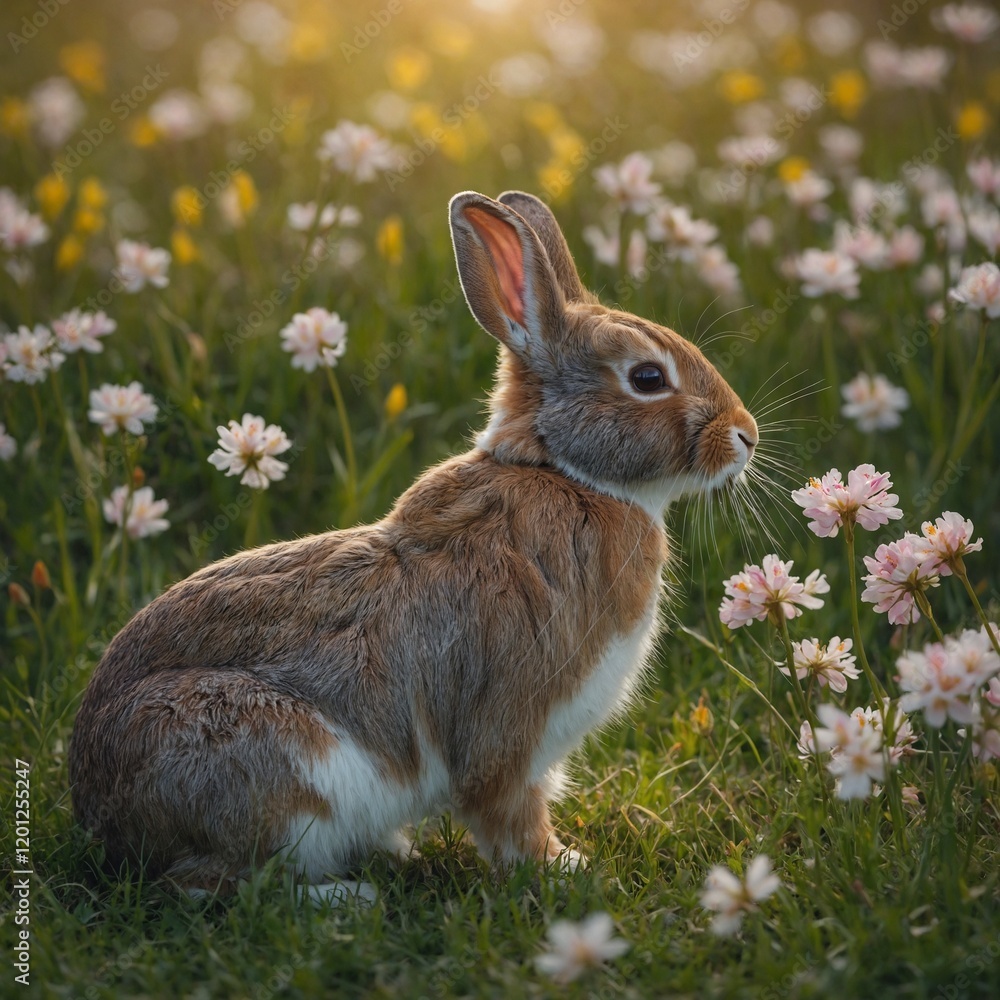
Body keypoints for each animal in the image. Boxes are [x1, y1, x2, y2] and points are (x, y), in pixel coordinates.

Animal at [69, 190, 758, 905]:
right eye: (647, 377)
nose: (747, 436)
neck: (567, 474)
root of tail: (102, 812)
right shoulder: (511, 731)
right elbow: (509, 813)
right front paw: (567, 870)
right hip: (269, 768)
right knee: (212, 884)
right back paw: (347, 897)